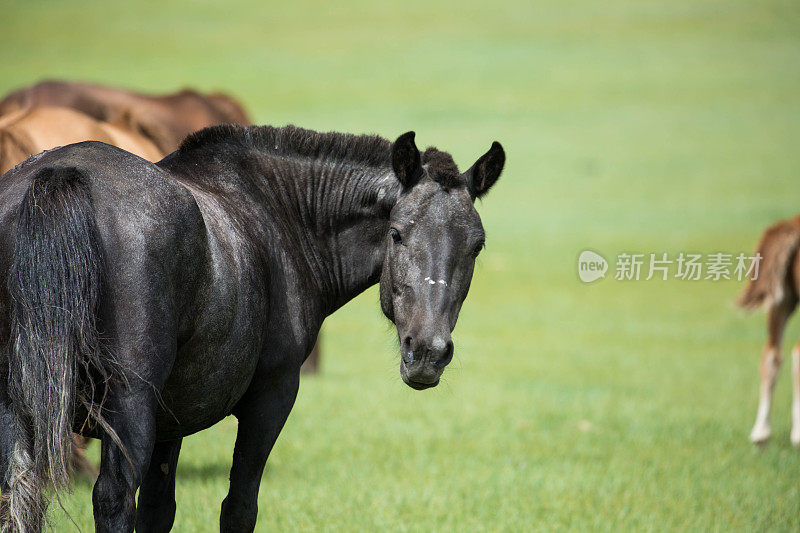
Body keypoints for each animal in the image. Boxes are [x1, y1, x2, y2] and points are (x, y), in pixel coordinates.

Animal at [0, 122, 504, 528]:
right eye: (397, 233)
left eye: (476, 246)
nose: (427, 353)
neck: (279, 213)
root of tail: (61, 176)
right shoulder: (270, 399)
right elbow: (239, 507)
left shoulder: (171, 422)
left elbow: (159, 511)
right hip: (127, 405)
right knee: (112, 499)